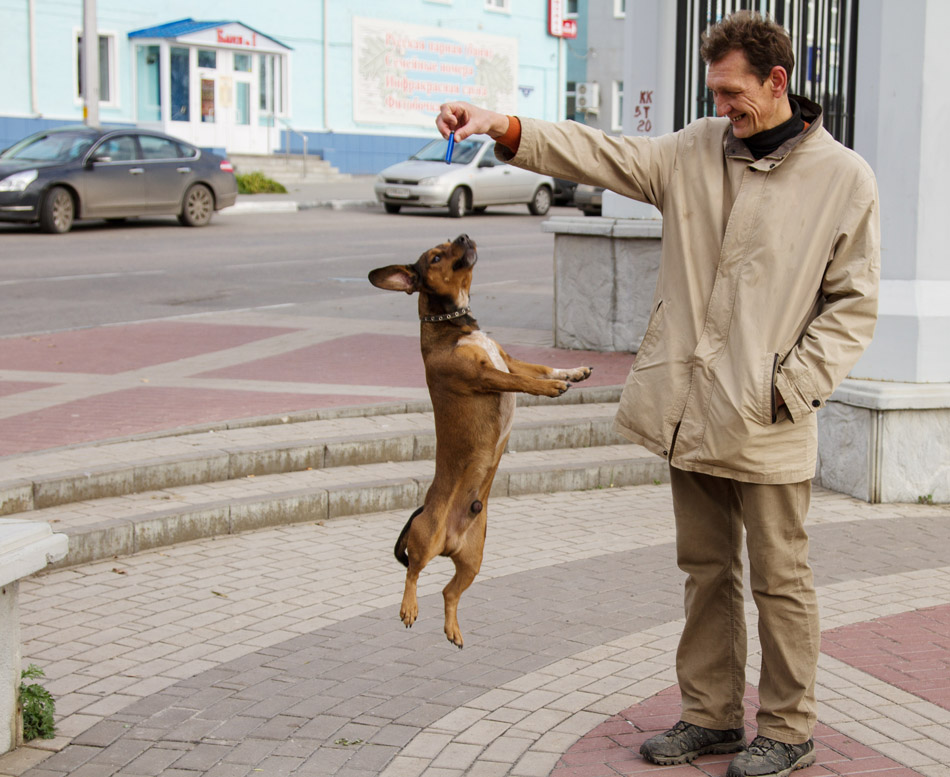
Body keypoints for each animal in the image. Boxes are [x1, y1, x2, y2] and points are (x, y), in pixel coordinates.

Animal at [368, 233, 592, 644]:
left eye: (449, 242)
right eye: (436, 256)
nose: (464, 235)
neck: (455, 328)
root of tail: (450, 541)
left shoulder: (509, 360)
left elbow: (538, 366)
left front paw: (573, 371)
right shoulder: (486, 375)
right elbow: (525, 381)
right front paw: (552, 387)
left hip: (473, 560)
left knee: (448, 592)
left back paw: (452, 628)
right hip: (425, 539)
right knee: (413, 572)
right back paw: (409, 607)